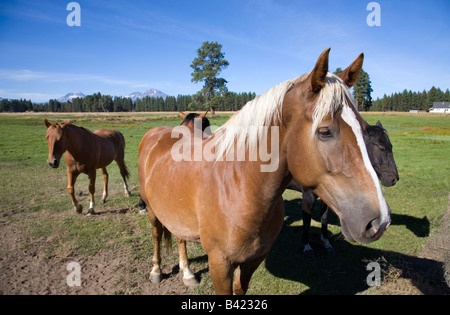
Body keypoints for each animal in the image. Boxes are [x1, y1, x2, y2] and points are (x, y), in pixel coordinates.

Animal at [137, 48, 390, 296]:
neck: (239, 187)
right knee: (157, 234)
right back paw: (156, 271)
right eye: (325, 131)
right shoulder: (219, 263)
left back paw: (188, 273)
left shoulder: (254, 259)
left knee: (180, 237)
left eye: (363, 130)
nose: (379, 221)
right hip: (152, 210)